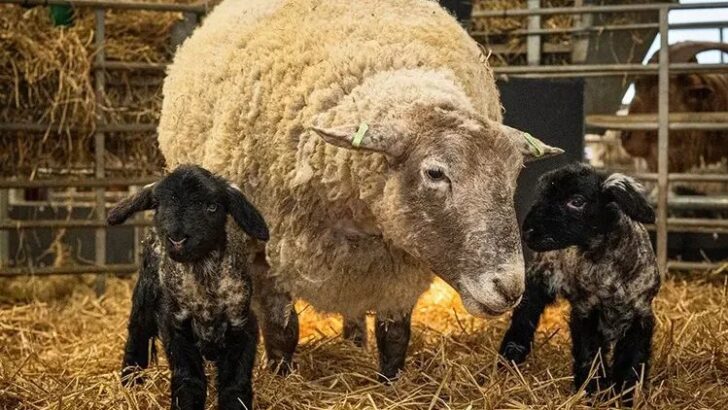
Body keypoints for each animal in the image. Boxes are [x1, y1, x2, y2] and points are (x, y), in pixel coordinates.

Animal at [108, 165, 269, 410]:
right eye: (158, 204)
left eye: (212, 206)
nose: (176, 239)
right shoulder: (176, 326)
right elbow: (189, 380)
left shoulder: (242, 326)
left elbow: (235, 384)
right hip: (146, 291)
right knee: (137, 332)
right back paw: (131, 382)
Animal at [157, 0, 563, 380]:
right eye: (435, 173)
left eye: (514, 175)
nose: (510, 288)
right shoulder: (261, 251)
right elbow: (282, 331)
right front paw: (280, 376)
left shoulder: (399, 269)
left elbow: (394, 336)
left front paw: (389, 383)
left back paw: (354, 342)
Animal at [499, 163, 660, 405]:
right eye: (543, 196)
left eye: (577, 201)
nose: (528, 232)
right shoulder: (586, 310)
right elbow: (589, 354)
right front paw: (594, 392)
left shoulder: (639, 314)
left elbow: (632, 360)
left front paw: (625, 396)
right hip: (540, 276)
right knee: (525, 315)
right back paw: (510, 355)